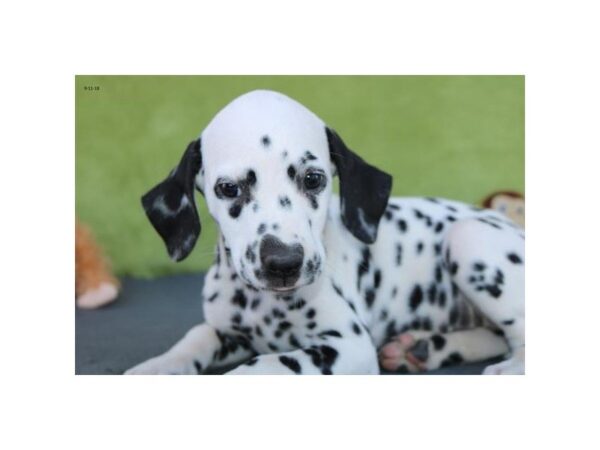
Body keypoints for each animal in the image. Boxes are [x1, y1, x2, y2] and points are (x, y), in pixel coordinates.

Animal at [127, 89, 524, 374]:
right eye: (227, 188)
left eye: (313, 179)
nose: (284, 263)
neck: (263, 305)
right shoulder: (227, 330)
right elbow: (196, 337)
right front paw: (158, 367)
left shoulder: (350, 347)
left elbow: (267, 363)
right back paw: (422, 349)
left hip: (466, 237)